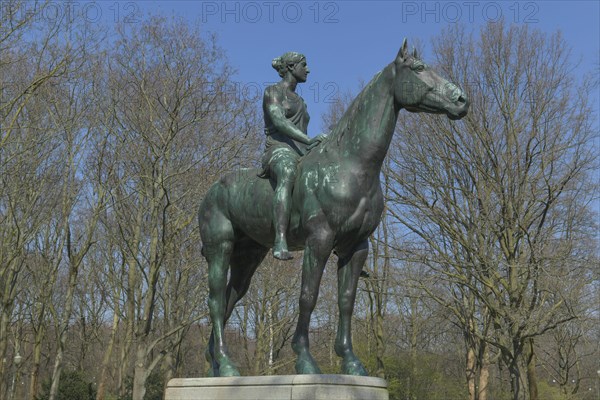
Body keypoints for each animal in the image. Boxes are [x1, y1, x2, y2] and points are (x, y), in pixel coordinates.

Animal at [198, 39, 468, 376]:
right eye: (419, 68)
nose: (461, 99)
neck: (351, 165)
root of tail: (213, 190)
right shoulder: (320, 241)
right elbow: (308, 297)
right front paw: (305, 359)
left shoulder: (357, 246)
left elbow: (346, 301)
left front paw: (350, 360)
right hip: (220, 249)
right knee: (215, 301)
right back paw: (225, 364)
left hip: (247, 257)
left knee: (229, 299)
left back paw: (218, 364)